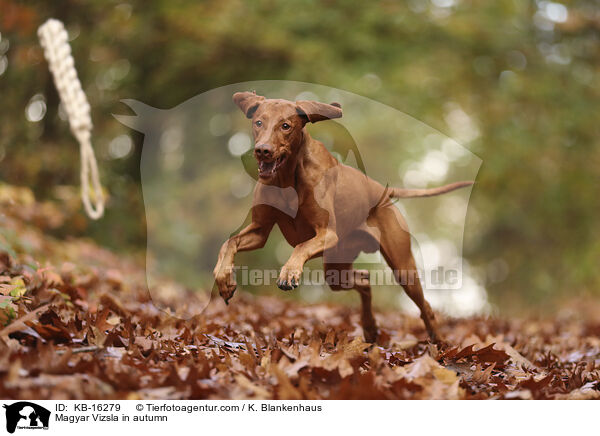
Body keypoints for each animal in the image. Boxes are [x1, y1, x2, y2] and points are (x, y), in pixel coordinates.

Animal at [214, 92, 474, 344]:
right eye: (258, 122)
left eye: (285, 126)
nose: (263, 150)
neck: (286, 177)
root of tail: (383, 191)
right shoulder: (259, 230)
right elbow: (229, 243)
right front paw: (224, 279)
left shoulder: (327, 233)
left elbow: (300, 246)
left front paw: (289, 272)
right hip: (336, 268)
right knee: (365, 280)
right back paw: (370, 327)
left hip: (402, 267)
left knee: (424, 305)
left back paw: (439, 342)